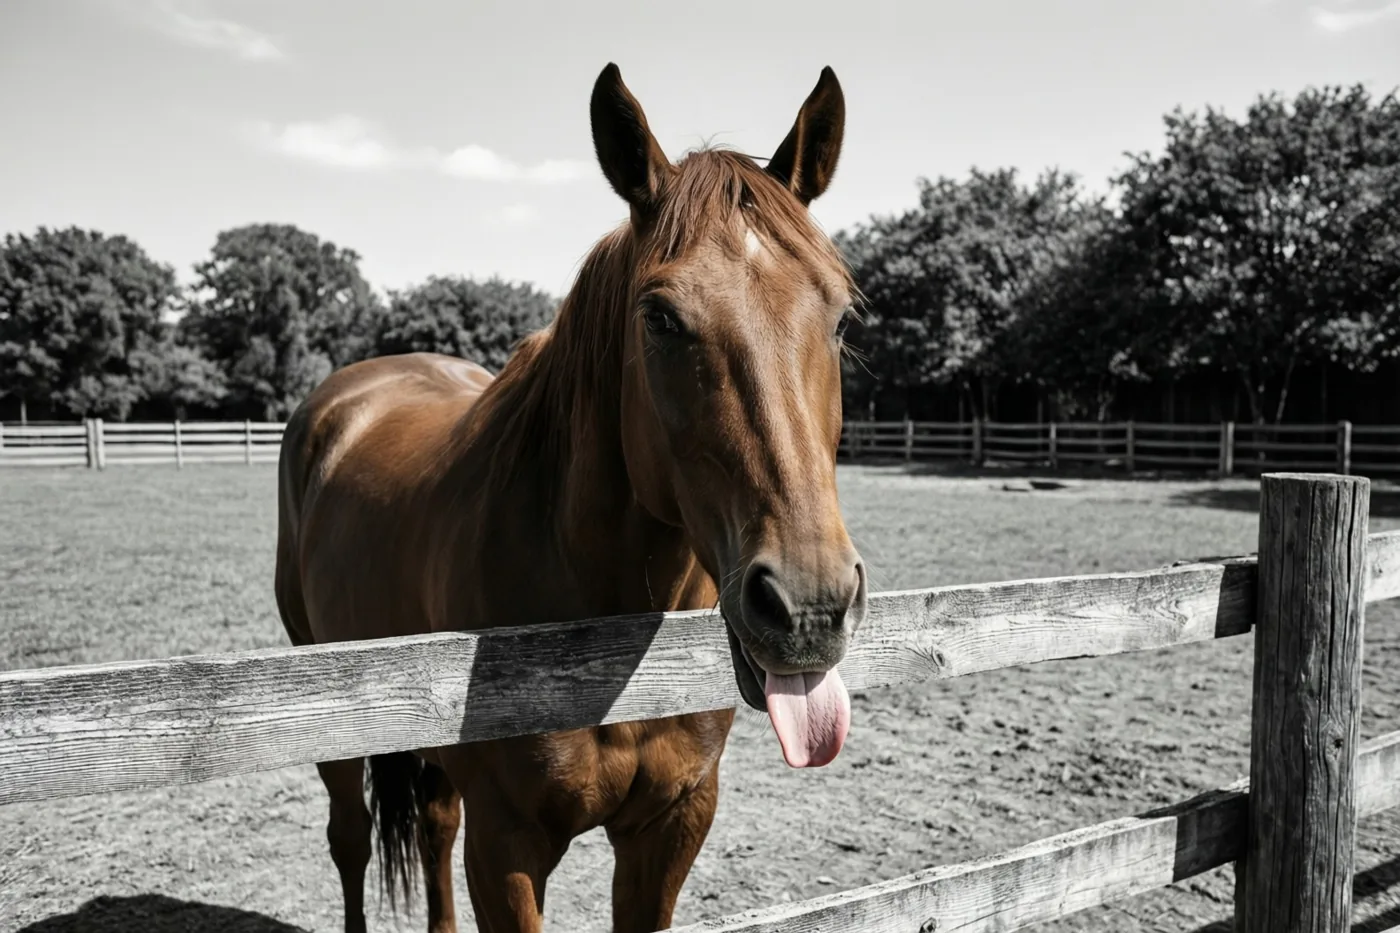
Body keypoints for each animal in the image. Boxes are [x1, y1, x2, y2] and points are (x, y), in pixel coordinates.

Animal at [274, 62, 867, 933]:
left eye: (839, 314)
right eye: (660, 317)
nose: (809, 608)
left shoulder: (672, 824)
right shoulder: (508, 847)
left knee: (432, 823)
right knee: (349, 839)